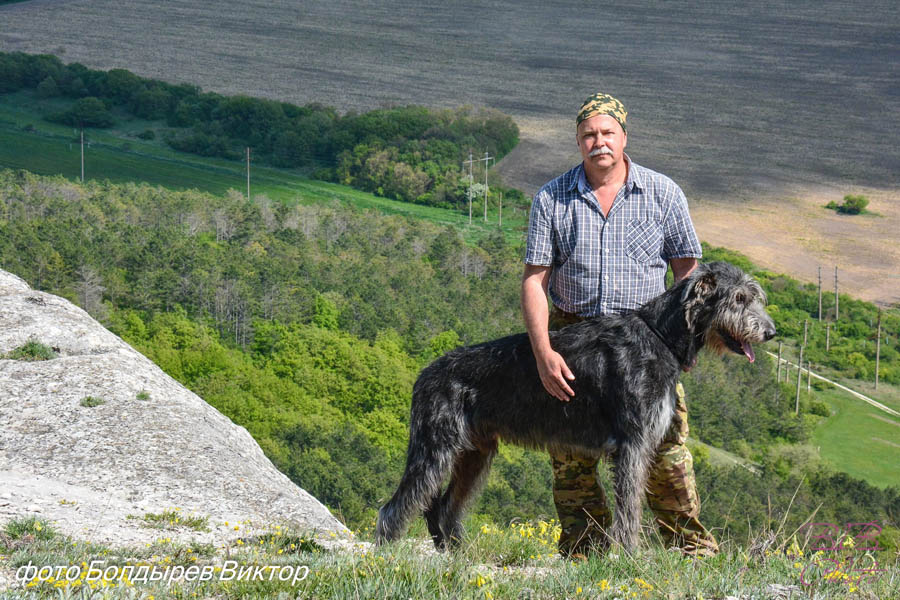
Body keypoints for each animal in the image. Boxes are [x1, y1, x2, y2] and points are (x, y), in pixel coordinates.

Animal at [376, 260, 776, 552]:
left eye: (754, 297)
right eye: (739, 298)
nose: (770, 332)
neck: (658, 336)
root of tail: (424, 374)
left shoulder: (644, 443)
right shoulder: (632, 445)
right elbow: (629, 509)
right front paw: (630, 556)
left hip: (475, 454)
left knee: (443, 508)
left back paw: (457, 553)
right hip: (435, 447)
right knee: (395, 506)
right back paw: (388, 553)